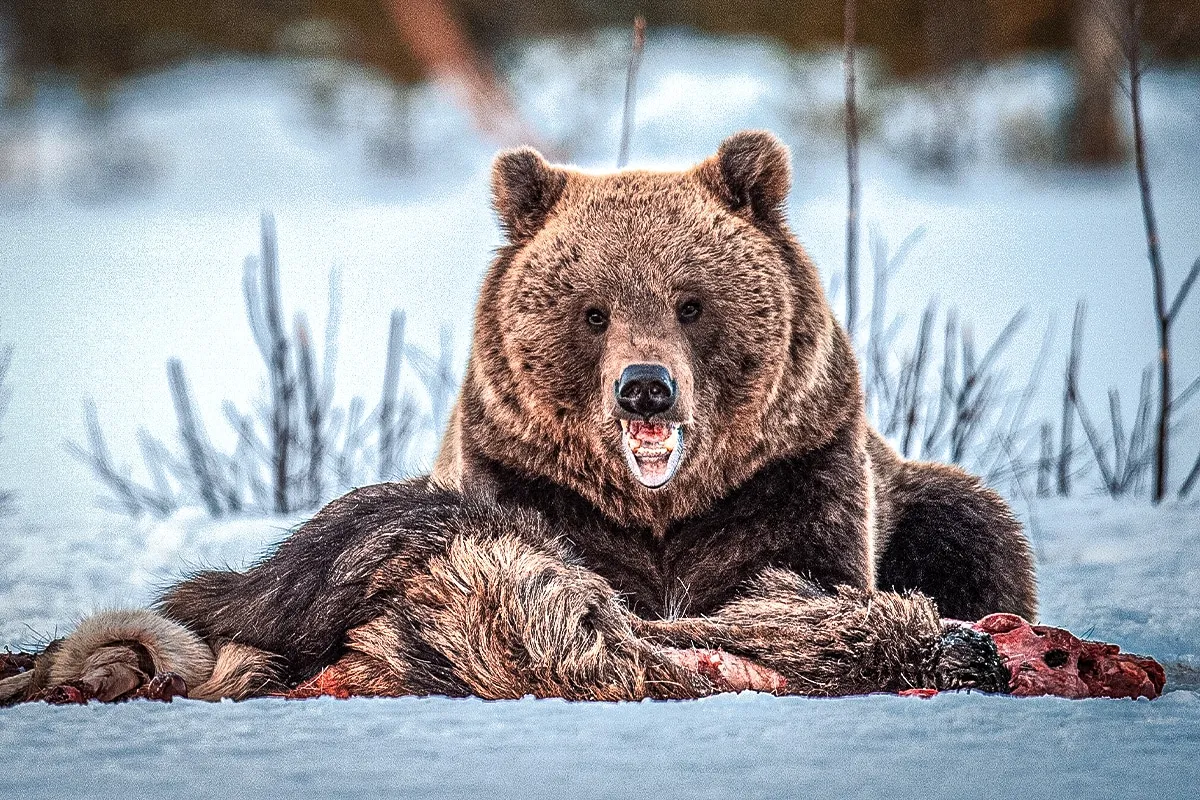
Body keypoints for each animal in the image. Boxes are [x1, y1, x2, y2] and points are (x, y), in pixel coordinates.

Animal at [0, 131, 1035, 705]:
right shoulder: (527, 481)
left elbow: (802, 577)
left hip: (922, 495)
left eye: (691, 301)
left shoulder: (793, 473)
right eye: (594, 310)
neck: (658, 509)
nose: (645, 389)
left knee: (975, 527)